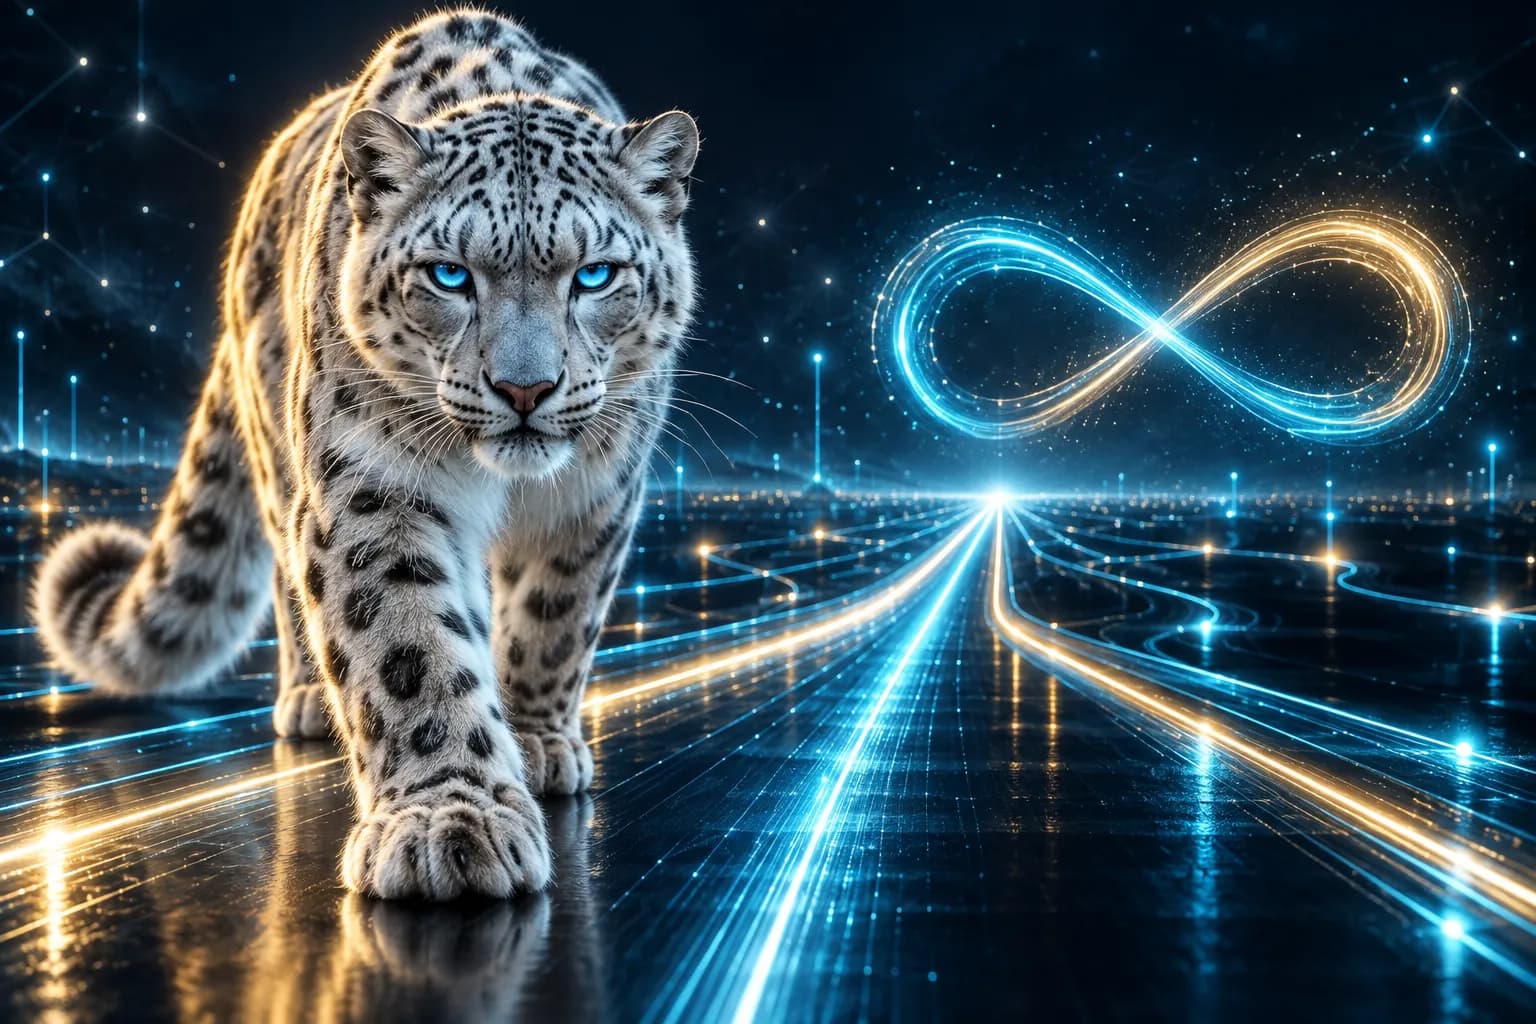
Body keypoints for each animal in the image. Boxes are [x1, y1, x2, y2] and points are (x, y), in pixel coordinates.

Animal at [31, 7, 698, 901]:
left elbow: (556, 619)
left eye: (595, 275)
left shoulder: (599, 489)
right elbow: (407, 644)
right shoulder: (373, 483)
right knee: (290, 582)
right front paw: (450, 822)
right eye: (449, 275)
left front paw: (535, 739)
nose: (525, 389)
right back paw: (311, 700)